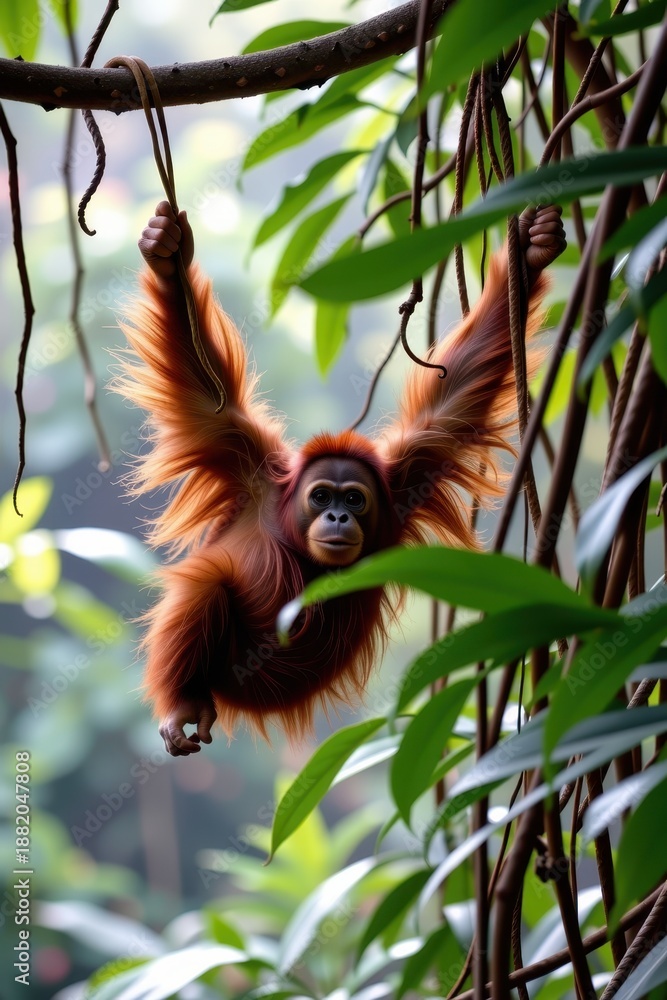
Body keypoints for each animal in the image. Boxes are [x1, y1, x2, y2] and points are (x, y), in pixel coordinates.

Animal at [115, 199, 565, 754]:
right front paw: (165, 250)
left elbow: (454, 400)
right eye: (322, 496)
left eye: (353, 500)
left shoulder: (408, 477)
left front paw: (535, 245)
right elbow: (204, 397)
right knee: (208, 581)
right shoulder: (247, 461)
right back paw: (185, 702)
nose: (335, 517)